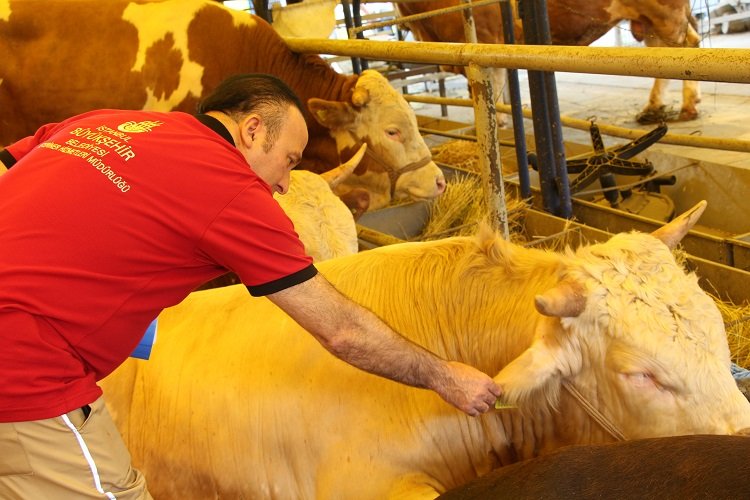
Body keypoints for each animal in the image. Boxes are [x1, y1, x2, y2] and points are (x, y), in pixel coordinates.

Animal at [396, 0, 704, 123]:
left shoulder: (484, 39)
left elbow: (488, 93)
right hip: (649, 21)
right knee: (663, 56)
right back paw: (654, 106)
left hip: (666, 14)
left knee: (687, 46)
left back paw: (688, 106)